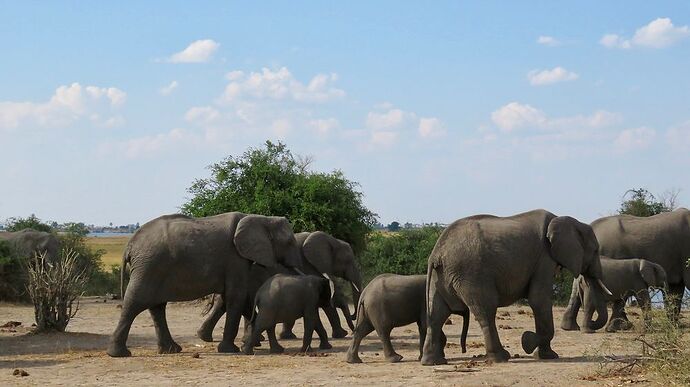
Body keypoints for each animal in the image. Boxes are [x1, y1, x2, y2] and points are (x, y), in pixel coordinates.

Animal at [106, 212, 300, 358]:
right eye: (290, 242)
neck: (261, 218)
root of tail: (129, 245)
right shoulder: (234, 258)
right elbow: (236, 296)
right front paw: (230, 350)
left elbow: (238, 298)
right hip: (149, 266)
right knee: (135, 302)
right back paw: (119, 354)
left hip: (152, 268)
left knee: (157, 306)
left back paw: (171, 350)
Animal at [420, 211, 608, 366]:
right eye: (595, 250)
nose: (591, 326)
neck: (564, 219)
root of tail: (436, 254)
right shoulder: (544, 258)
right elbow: (539, 300)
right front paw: (529, 343)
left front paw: (543, 353)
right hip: (471, 274)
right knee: (486, 311)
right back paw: (501, 357)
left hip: (442, 277)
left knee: (437, 314)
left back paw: (433, 362)